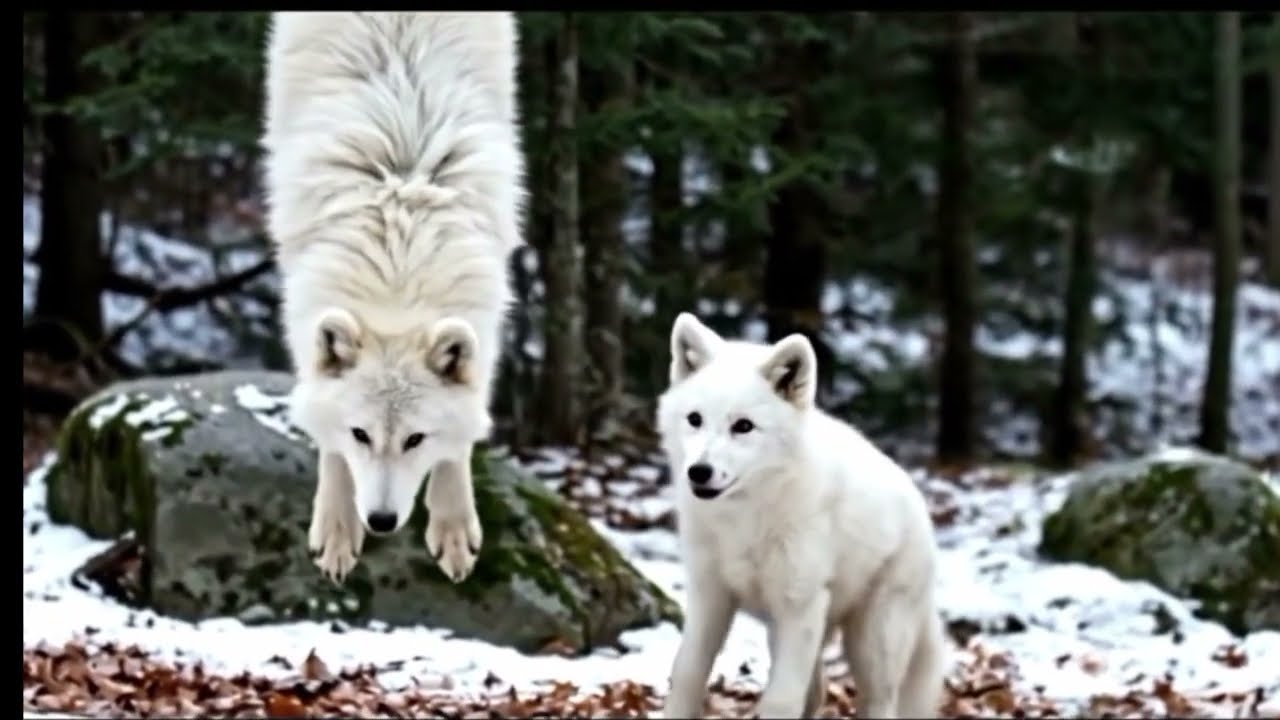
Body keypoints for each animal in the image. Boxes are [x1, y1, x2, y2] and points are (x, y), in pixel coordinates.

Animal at [260, 12, 525, 584]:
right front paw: (337, 527)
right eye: (361, 434)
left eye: (415, 440)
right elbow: (328, 440)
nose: (381, 521)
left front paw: (453, 526)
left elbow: (461, 439)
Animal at [656, 313, 947, 718]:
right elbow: (685, 674)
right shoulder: (709, 595)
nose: (699, 472)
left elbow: (780, 701)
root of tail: (920, 505)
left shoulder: (799, 608)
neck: (745, 519)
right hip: (793, 631)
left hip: (872, 643)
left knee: (878, 701)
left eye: (743, 426)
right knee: (818, 691)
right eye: (694, 419)